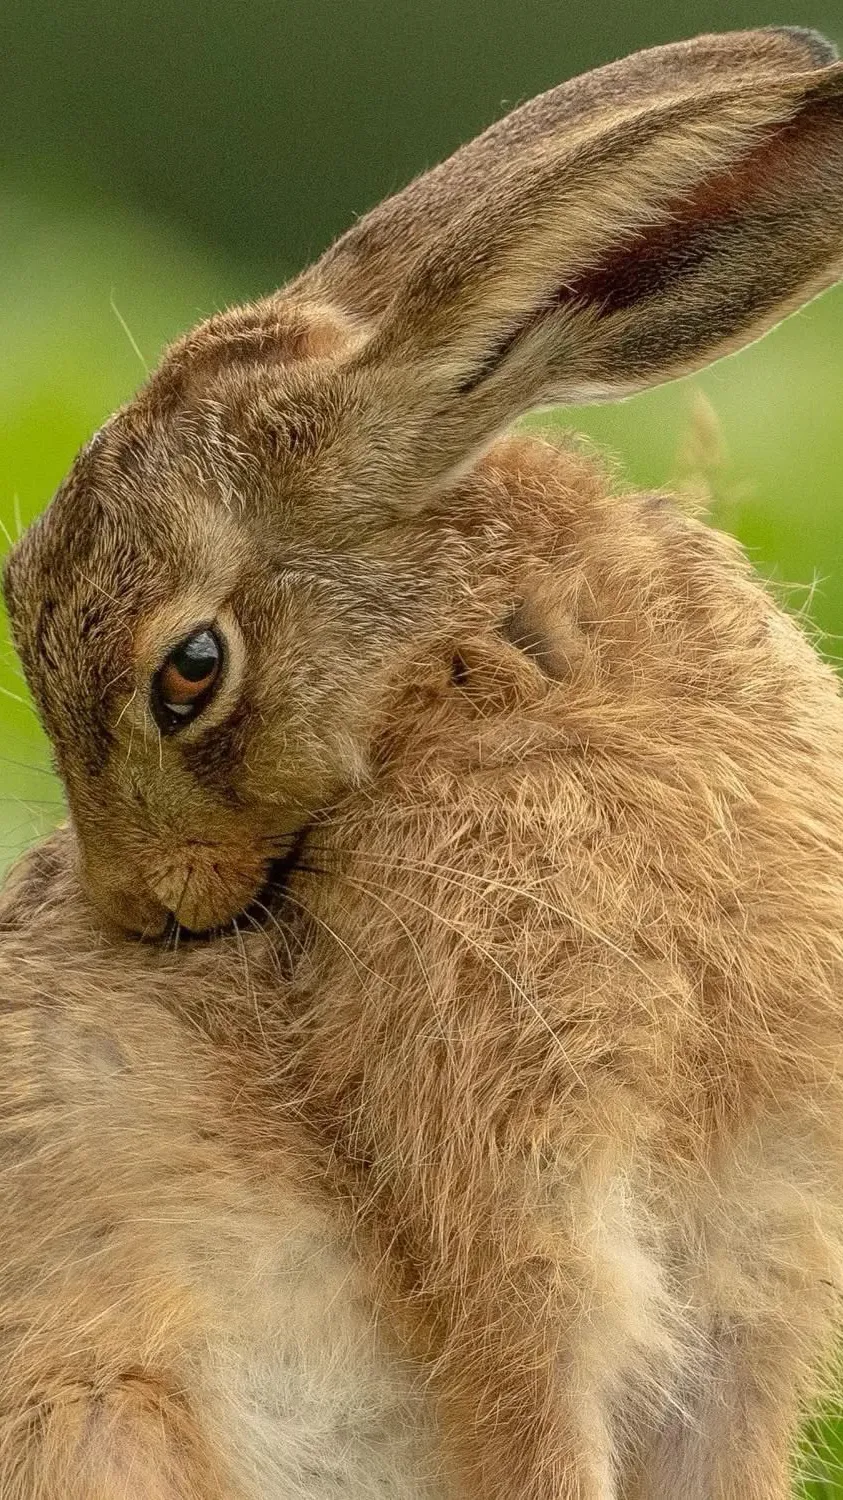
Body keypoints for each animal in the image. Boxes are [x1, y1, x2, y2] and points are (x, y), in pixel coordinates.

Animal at [3, 21, 843, 1500]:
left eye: (189, 672)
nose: (136, 911)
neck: (469, 646)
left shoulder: (756, 1241)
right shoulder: (516, 1186)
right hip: (102, 1421)